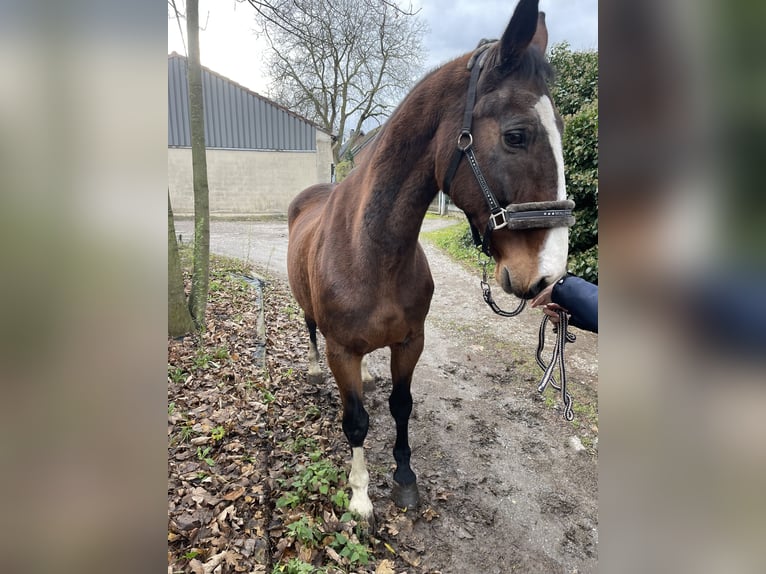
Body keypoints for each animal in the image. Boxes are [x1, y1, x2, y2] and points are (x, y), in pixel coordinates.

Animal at [288, 0, 576, 524]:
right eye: (516, 135)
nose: (549, 275)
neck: (373, 254)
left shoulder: (410, 342)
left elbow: (401, 405)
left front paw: (405, 478)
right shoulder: (343, 352)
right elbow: (356, 422)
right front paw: (360, 498)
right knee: (309, 328)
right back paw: (315, 370)